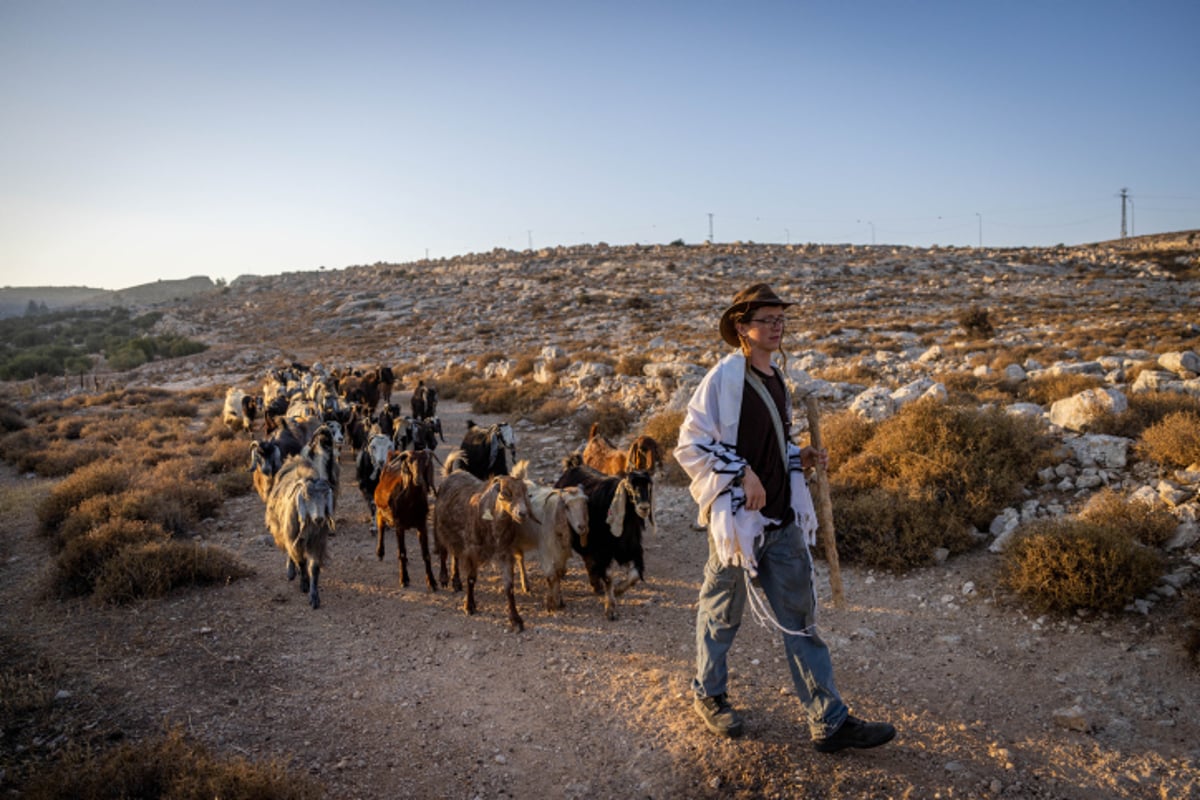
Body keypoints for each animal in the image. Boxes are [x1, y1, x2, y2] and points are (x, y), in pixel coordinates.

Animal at [436, 462, 530, 633]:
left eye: (526, 493)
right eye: (505, 493)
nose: (522, 513)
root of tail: (451, 473)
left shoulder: (505, 553)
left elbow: (509, 586)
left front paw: (516, 620)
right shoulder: (472, 550)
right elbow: (471, 578)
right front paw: (469, 606)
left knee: (455, 555)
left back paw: (456, 582)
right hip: (440, 529)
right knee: (444, 551)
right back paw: (444, 578)